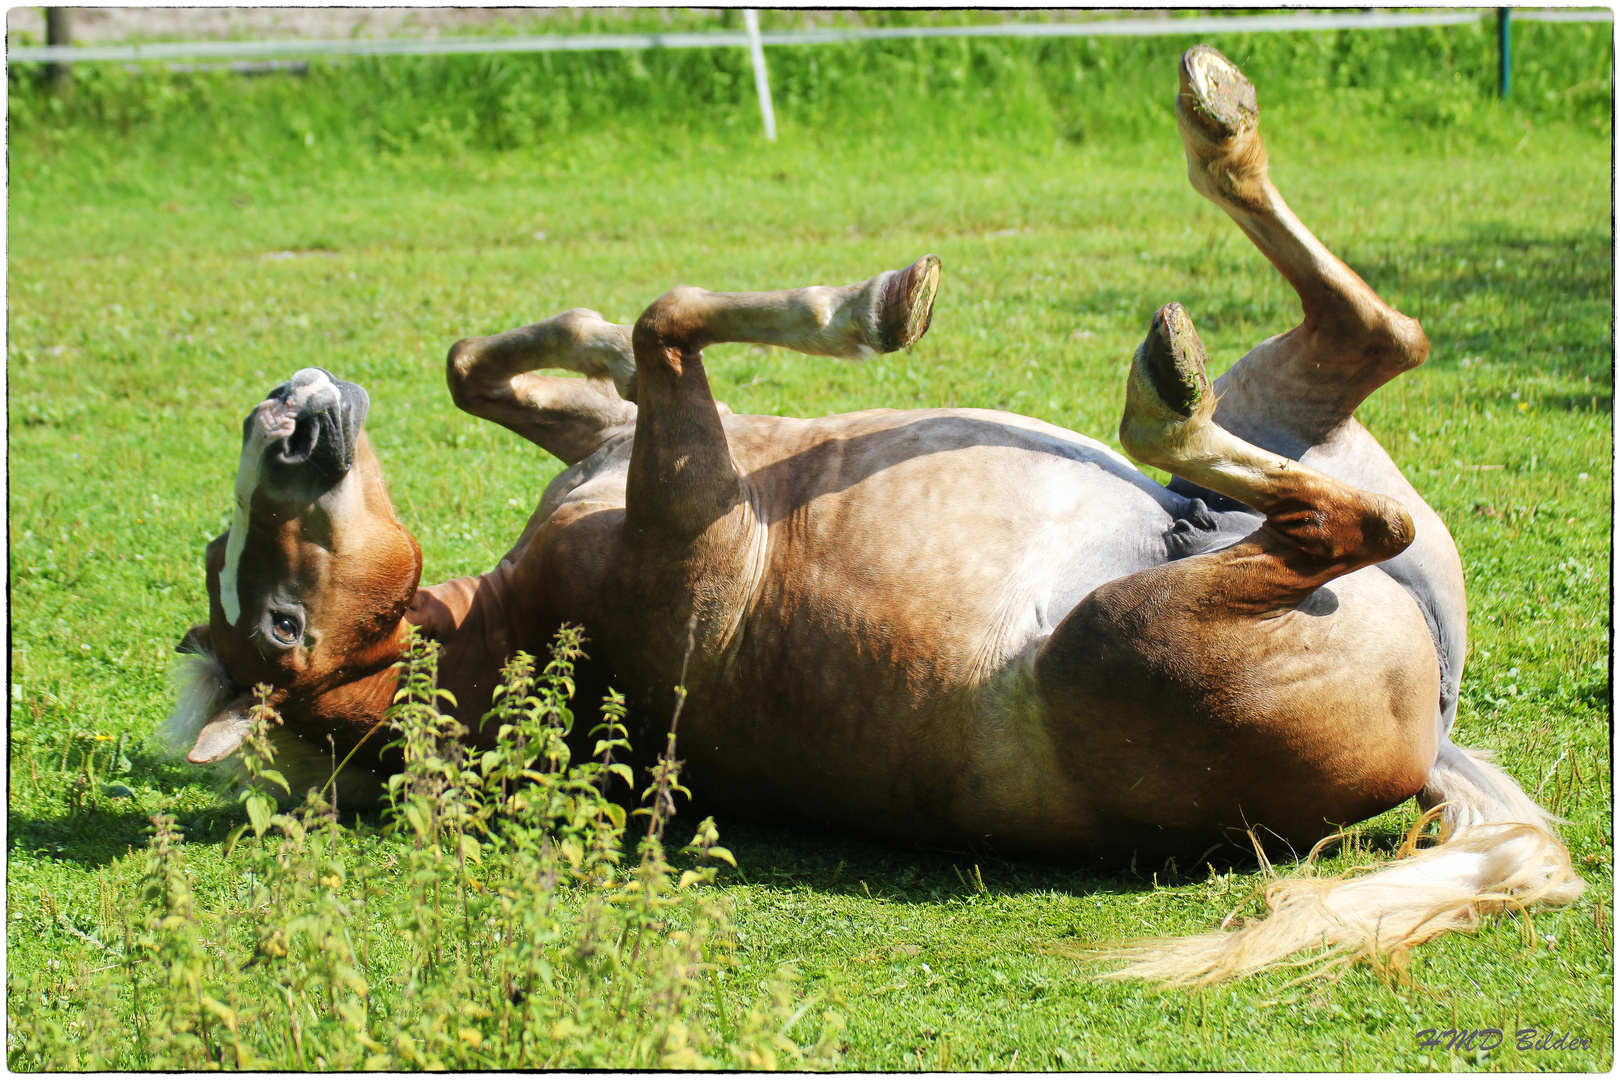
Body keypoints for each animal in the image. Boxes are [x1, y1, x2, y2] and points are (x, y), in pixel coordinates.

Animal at [167, 46, 1581, 984]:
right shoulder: (695, 505)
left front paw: (608, 343)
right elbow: (669, 315)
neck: (519, 632)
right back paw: (1162, 393)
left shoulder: (628, 450)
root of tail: (1431, 737)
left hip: (1285, 411)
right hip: (1141, 632)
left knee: (1379, 339)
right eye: (279, 624)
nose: (284, 419)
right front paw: (878, 305)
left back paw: (1213, 119)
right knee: (1343, 514)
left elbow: (506, 356)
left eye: (245, 578)